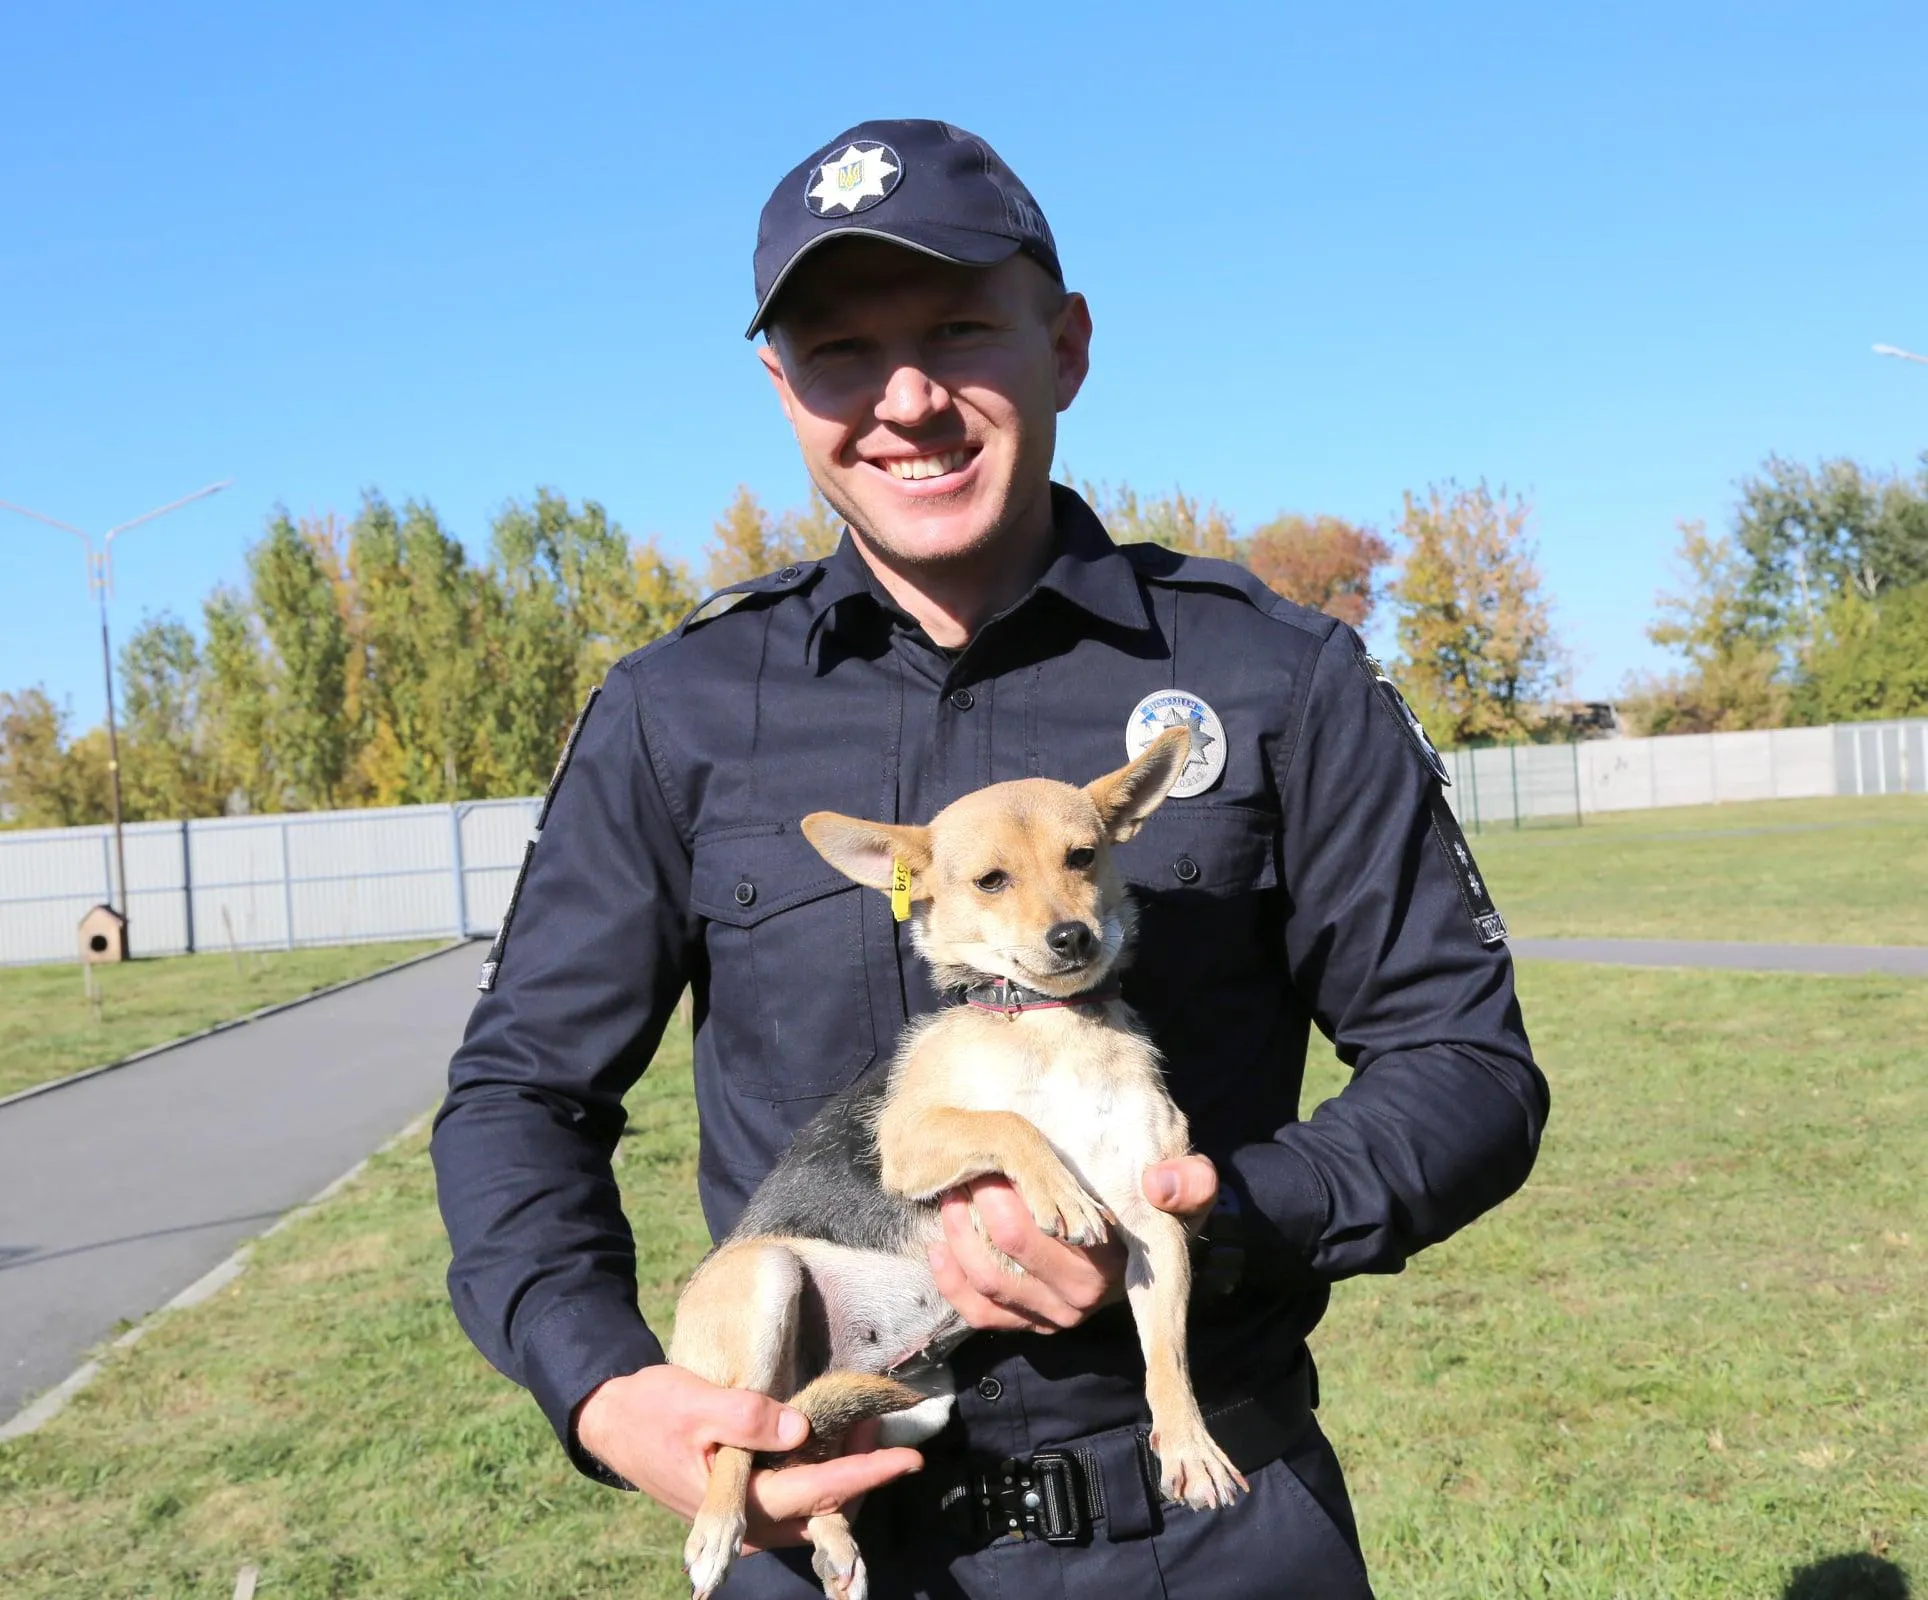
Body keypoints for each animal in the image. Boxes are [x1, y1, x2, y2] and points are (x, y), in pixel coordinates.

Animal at [670, 728, 1241, 1600]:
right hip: (767, 1285)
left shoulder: (1155, 1224)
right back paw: (716, 1529)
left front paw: (1188, 1447)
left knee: (803, 1451)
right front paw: (1058, 1192)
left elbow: (1167, 1358)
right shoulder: (909, 1142)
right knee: (741, 1437)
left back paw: (835, 1543)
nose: (1073, 937)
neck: (1044, 1024)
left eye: (1083, 857)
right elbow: (1009, 1121)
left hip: (912, 1404)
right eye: (991, 881)